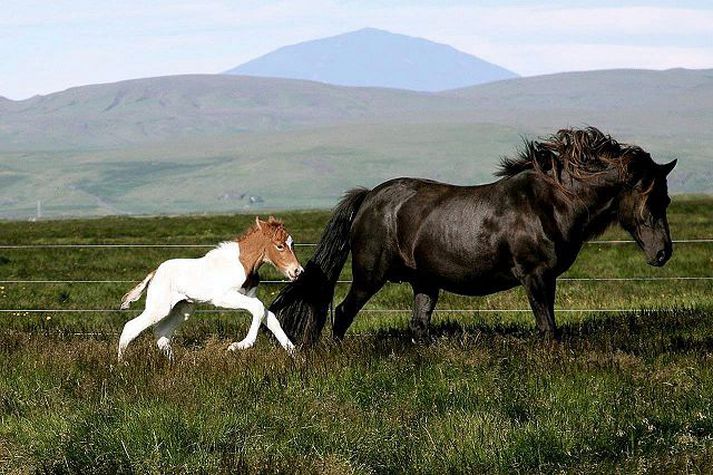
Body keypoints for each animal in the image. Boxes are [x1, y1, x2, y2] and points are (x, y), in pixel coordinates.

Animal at [118, 218, 302, 362]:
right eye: (279, 246)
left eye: (292, 244)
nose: (297, 271)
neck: (242, 264)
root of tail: (155, 272)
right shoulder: (224, 298)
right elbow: (258, 309)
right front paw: (238, 346)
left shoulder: (249, 296)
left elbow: (269, 316)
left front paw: (297, 358)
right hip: (159, 308)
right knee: (130, 327)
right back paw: (121, 365)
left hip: (183, 309)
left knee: (162, 333)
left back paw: (173, 365)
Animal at [270, 126, 676, 344]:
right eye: (653, 199)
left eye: (667, 199)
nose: (663, 254)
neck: (550, 204)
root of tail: (369, 197)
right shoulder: (536, 276)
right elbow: (548, 328)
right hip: (371, 275)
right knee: (341, 313)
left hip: (425, 282)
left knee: (419, 326)